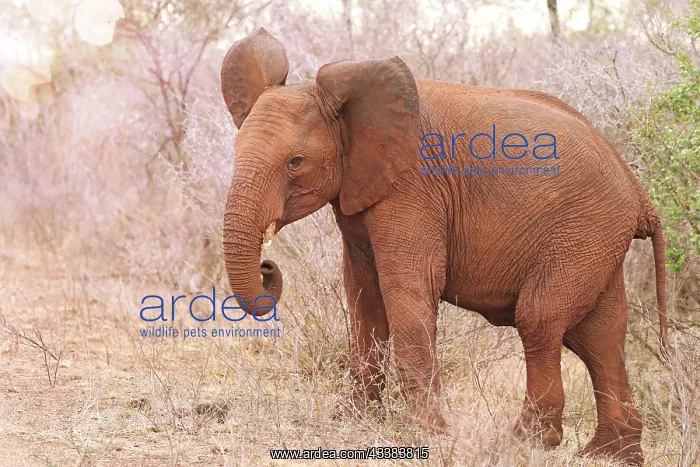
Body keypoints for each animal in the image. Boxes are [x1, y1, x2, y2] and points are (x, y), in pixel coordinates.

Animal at [219, 28, 670, 466]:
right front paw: (351, 420)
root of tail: (639, 192)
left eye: (295, 162)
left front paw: (430, 434)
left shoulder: (412, 188)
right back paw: (609, 453)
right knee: (600, 336)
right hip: (597, 238)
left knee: (540, 320)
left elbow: (408, 290)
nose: (268, 268)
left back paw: (524, 443)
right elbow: (364, 296)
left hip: (583, 231)